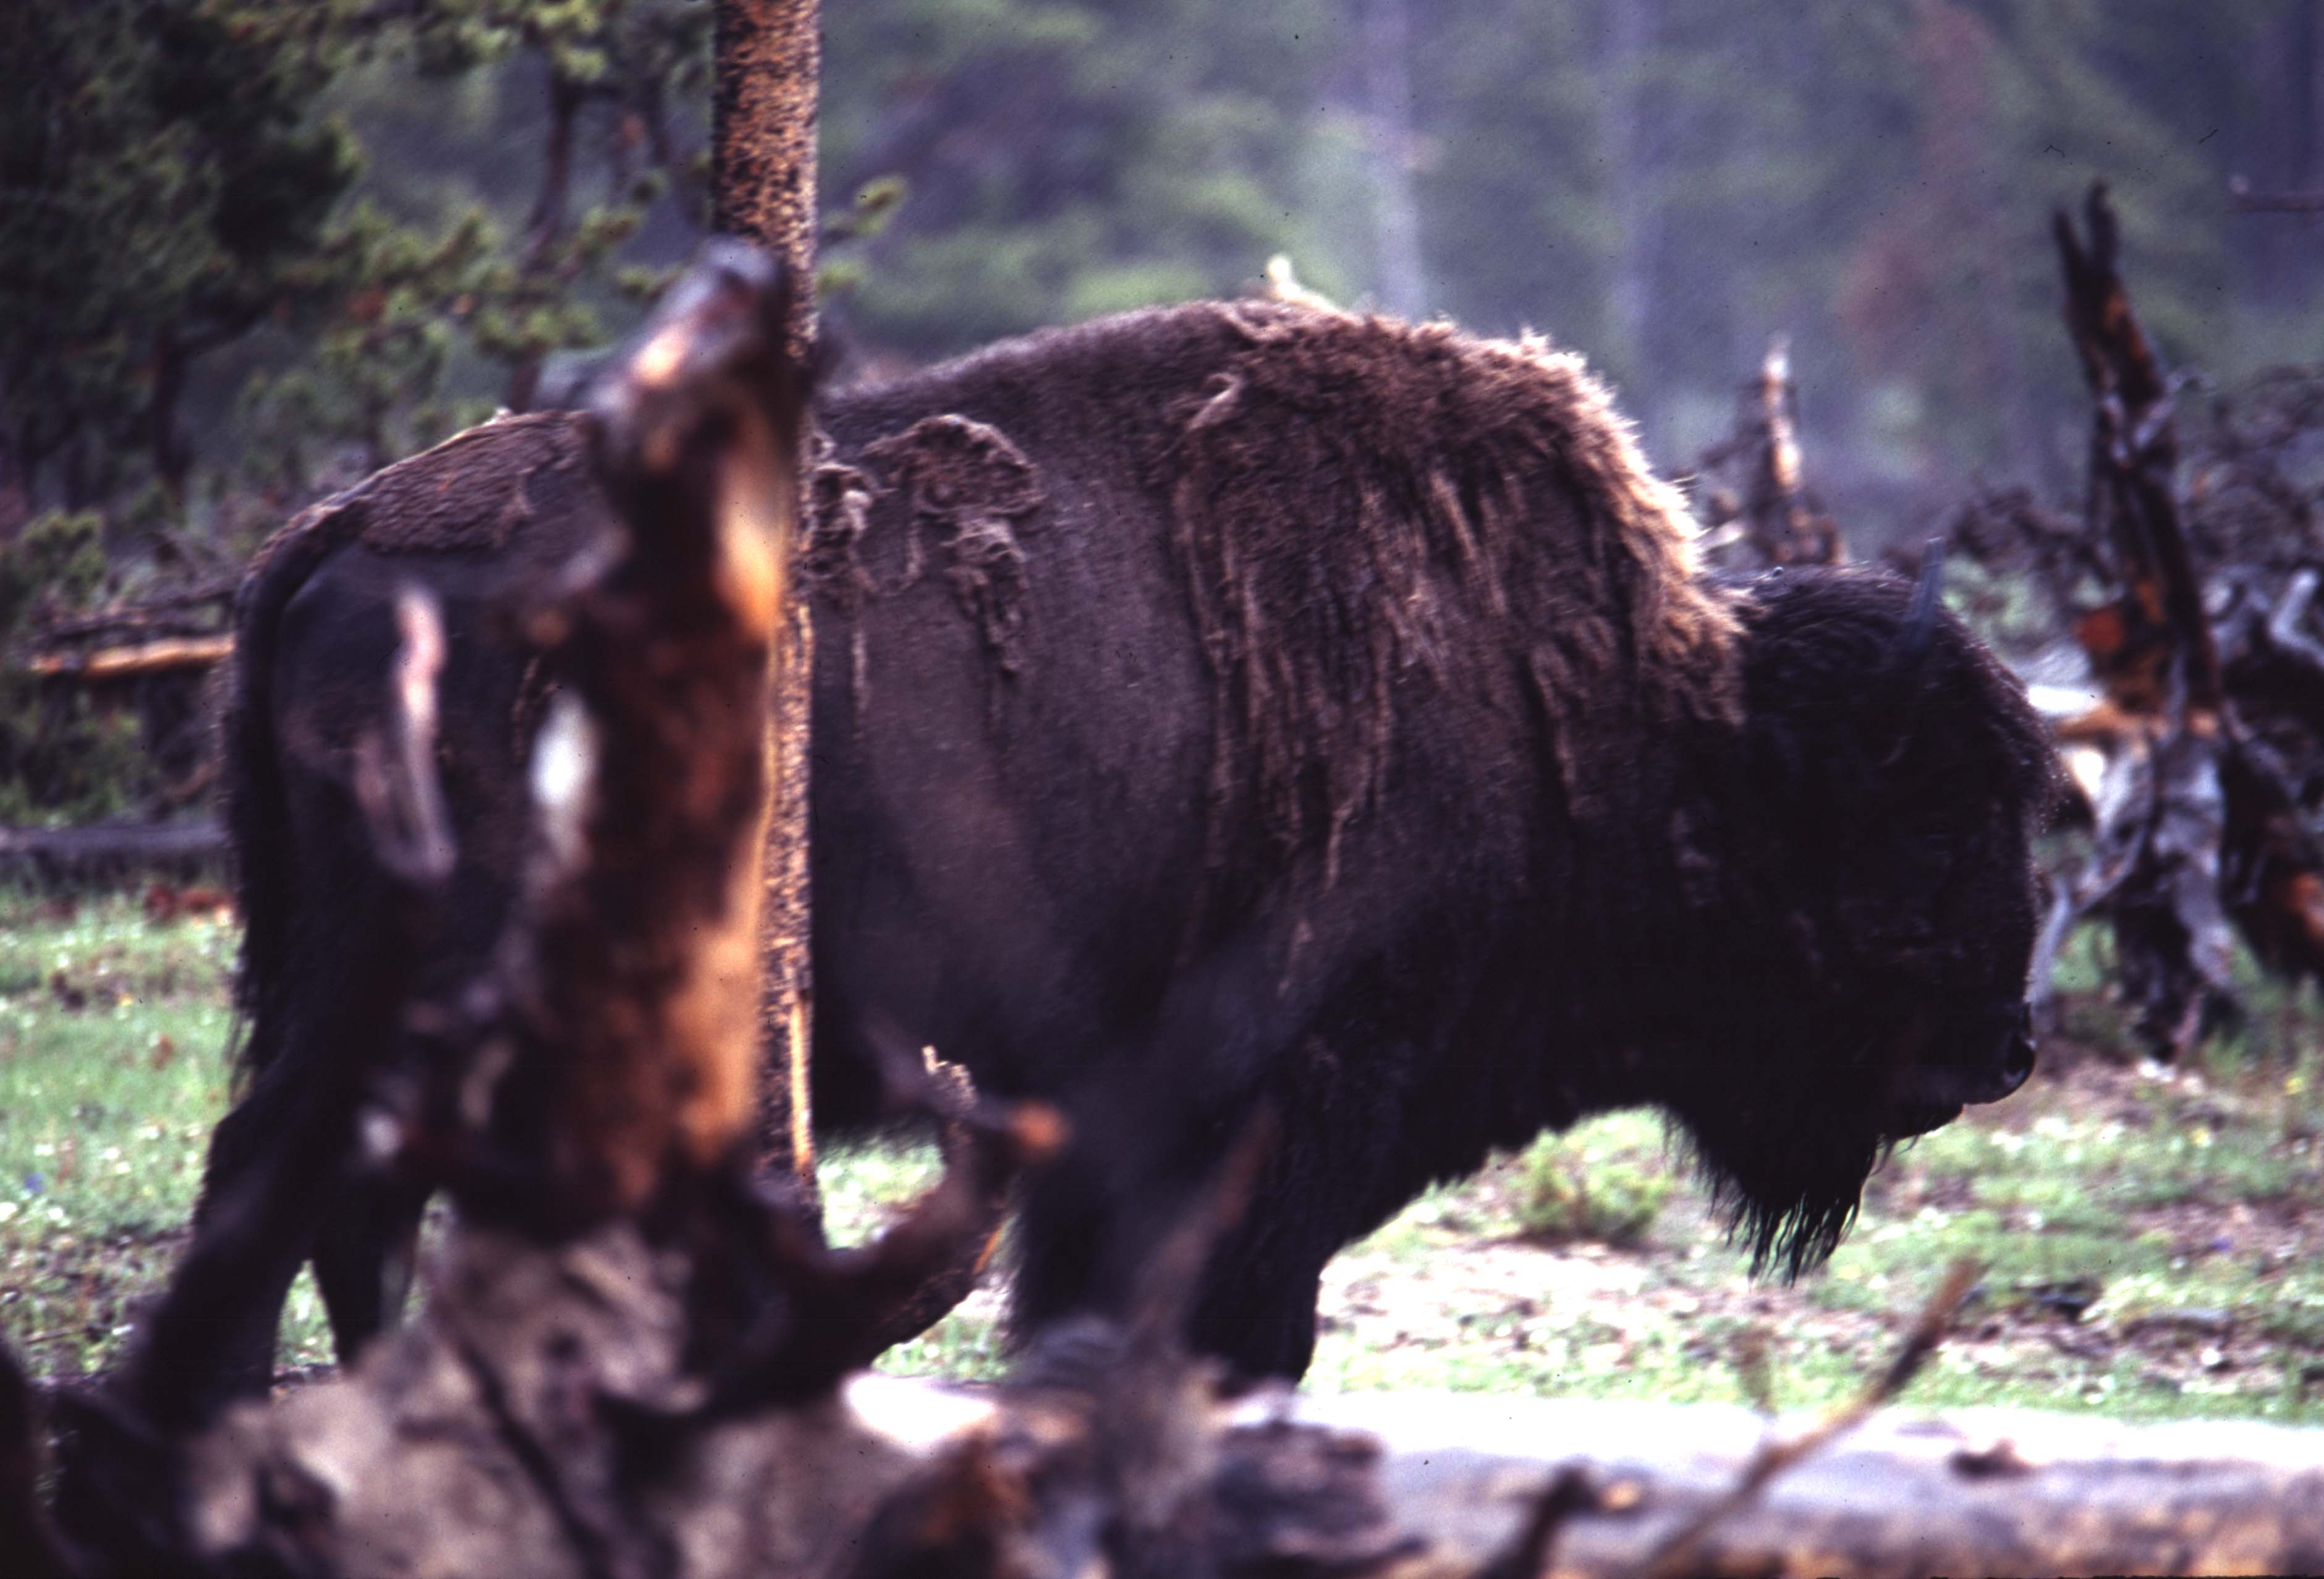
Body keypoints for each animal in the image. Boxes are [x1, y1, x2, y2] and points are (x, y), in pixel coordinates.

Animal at [195, 297, 2053, 1397]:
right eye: (1924, 823)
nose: (2007, 1044)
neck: (1635, 718)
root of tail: (341, 528)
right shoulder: (1267, 1115)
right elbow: (1236, 1332)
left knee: (340, 1201)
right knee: (279, 1182)